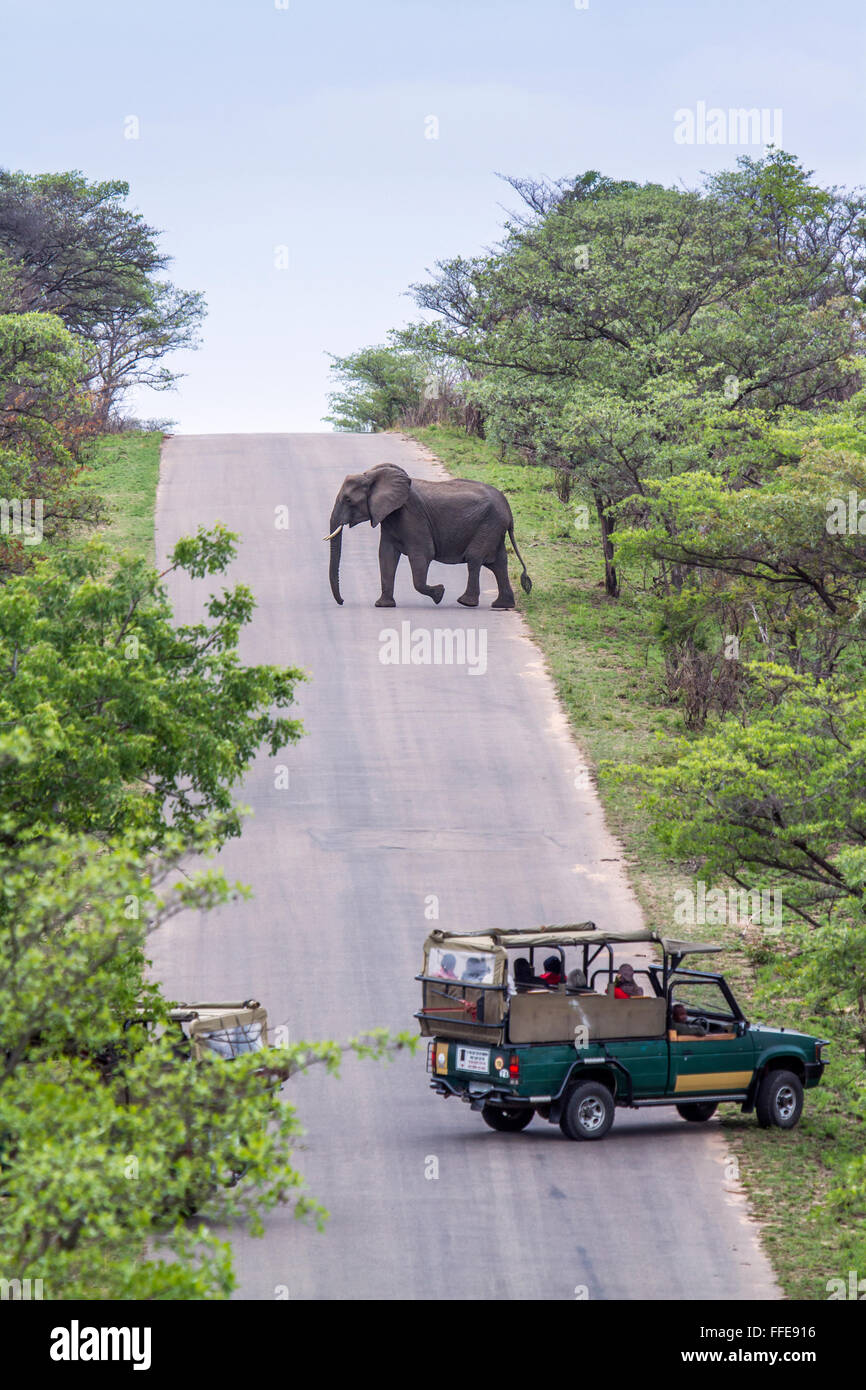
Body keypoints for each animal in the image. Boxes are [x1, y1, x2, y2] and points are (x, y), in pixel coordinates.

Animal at [323, 461, 530, 608]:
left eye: (348, 500)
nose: (342, 601)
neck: (372, 476)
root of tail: (508, 509)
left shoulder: (412, 516)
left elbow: (422, 555)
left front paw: (439, 593)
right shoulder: (390, 517)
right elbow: (386, 555)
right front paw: (383, 605)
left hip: (489, 525)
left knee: (475, 559)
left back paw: (465, 602)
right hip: (494, 528)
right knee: (498, 563)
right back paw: (501, 605)